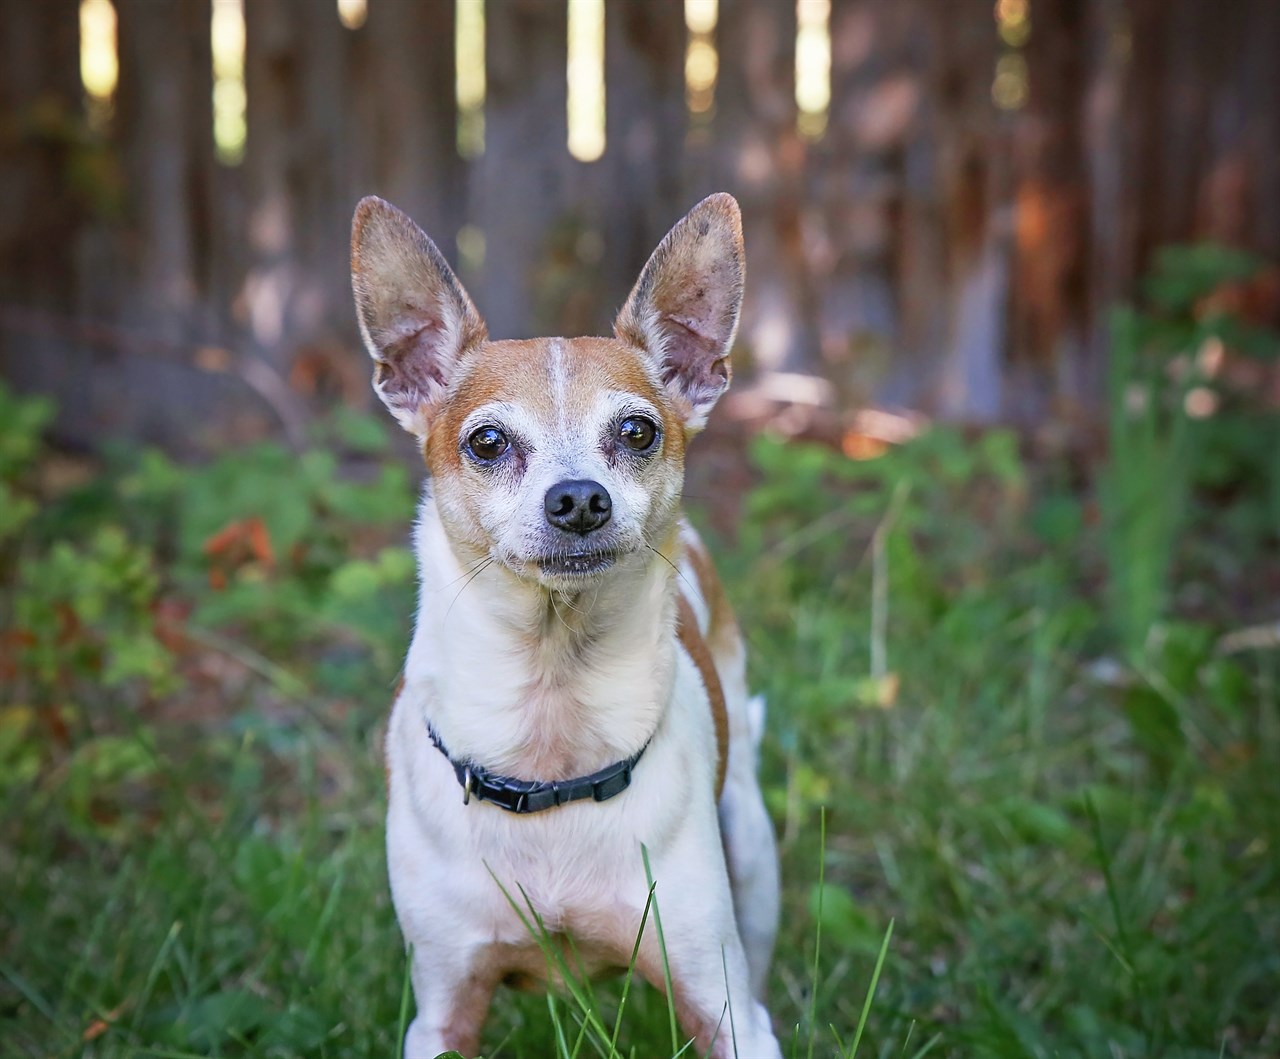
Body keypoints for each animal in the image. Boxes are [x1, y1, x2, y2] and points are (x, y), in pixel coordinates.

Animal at [350, 192, 783, 1059]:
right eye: (487, 441)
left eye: (638, 431)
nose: (580, 498)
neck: (552, 724)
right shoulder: (442, 1007)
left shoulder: (726, 1012)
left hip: (752, 854)